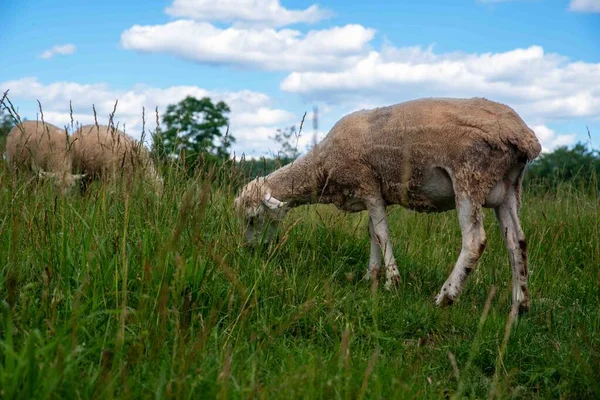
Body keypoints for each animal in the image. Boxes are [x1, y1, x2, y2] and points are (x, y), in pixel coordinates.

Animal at [236, 97, 544, 312]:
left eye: (253, 218)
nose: (250, 250)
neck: (321, 166)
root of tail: (522, 136)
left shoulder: (367, 184)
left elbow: (382, 234)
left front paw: (391, 282)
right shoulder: (374, 193)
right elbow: (373, 232)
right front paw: (370, 276)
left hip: (470, 178)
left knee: (474, 240)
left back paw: (445, 296)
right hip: (508, 189)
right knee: (517, 241)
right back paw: (520, 304)